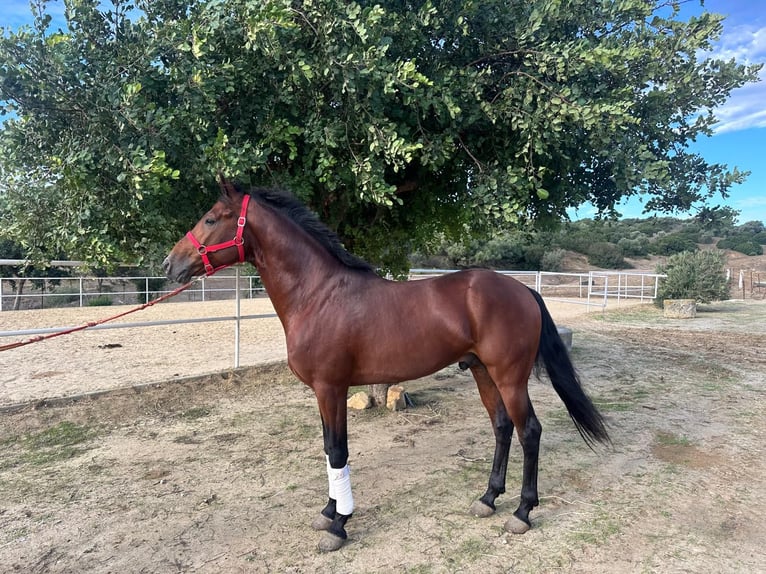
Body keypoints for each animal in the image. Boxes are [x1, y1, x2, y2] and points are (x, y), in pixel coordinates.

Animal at [162, 180, 612, 552]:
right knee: (502, 428)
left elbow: (337, 451)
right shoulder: (324, 392)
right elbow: (328, 450)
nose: (169, 264)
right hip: (482, 372)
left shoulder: (331, 387)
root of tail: (522, 290)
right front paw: (328, 513)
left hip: (509, 376)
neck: (319, 294)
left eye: (211, 218)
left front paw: (339, 525)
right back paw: (487, 499)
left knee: (529, 431)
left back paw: (521, 513)